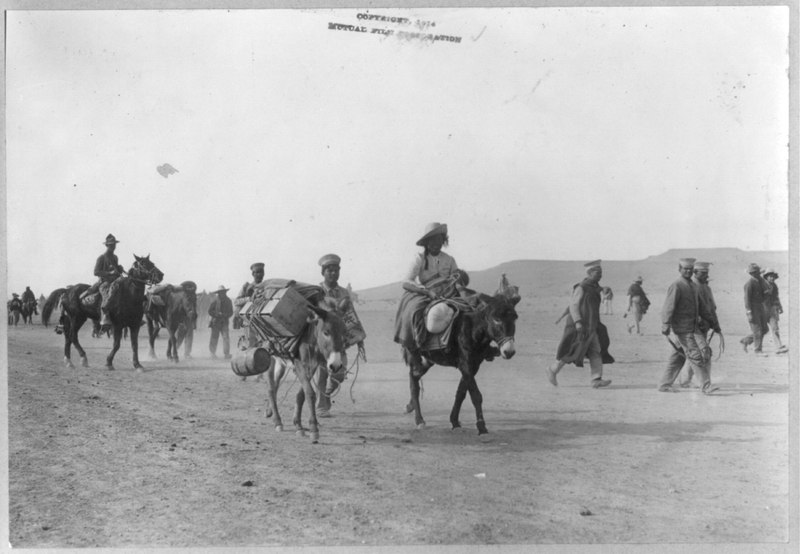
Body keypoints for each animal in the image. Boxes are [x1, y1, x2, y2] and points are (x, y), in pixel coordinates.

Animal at [264, 300, 348, 442]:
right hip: (268, 355)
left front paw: (298, 425)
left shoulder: (312, 366)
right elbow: (310, 393)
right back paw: (278, 421)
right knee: (270, 388)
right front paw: (313, 428)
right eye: (326, 332)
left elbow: (301, 395)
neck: (311, 340)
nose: (336, 366)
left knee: (275, 386)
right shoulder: (299, 364)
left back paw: (271, 412)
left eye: (344, 333)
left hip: (281, 362)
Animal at [404, 282, 520, 434]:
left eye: (514, 318)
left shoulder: (473, 366)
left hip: (427, 360)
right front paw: (481, 426)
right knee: (414, 384)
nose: (509, 351)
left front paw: (454, 421)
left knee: (414, 377)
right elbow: (476, 395)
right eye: (496, 319)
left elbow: (461, 393)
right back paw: (419, 420)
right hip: (414, 354)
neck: (473, 331)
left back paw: (411, 407)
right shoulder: (465, 365)